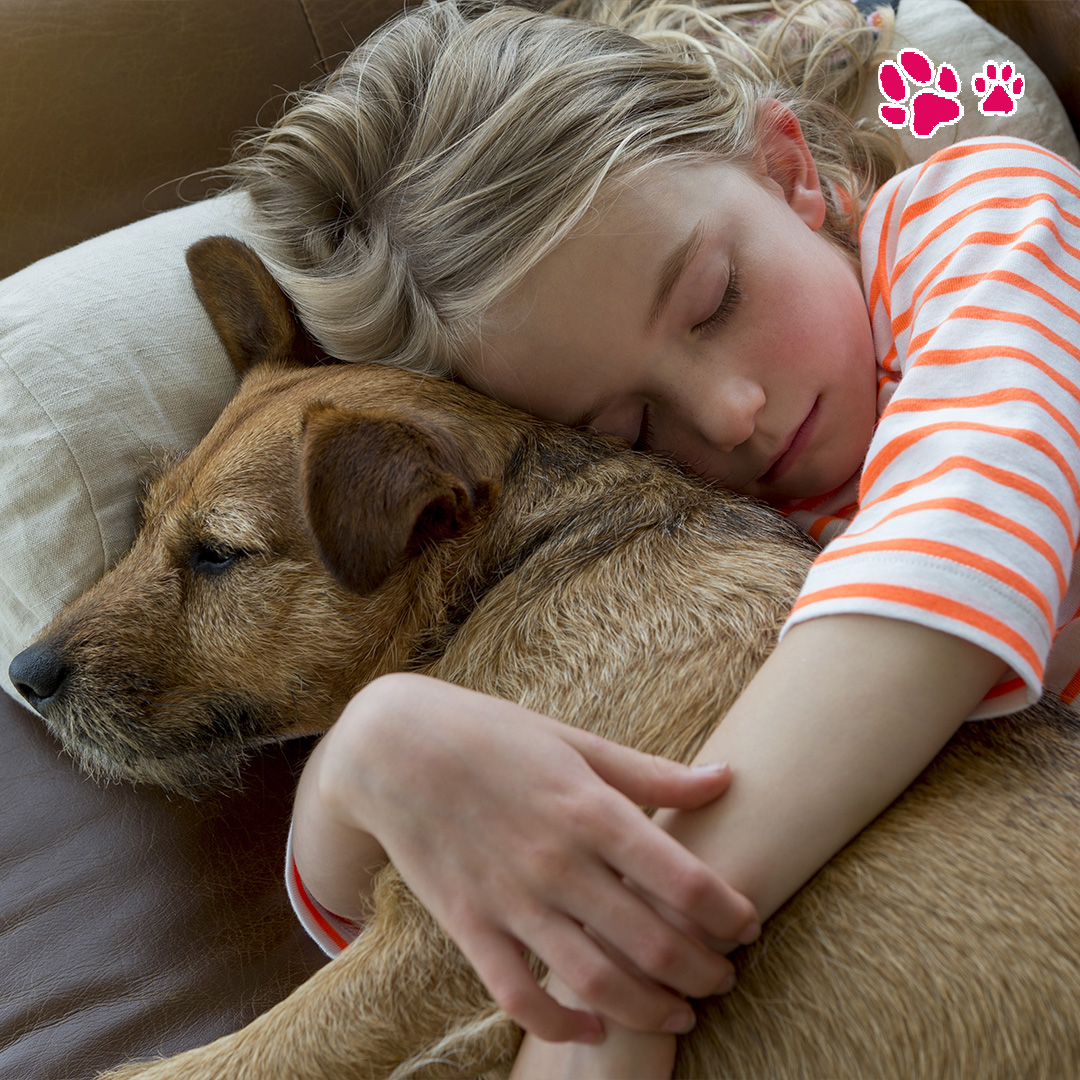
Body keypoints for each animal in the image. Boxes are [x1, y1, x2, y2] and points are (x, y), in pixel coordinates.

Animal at [8, 238, 1080, 1080]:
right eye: (143, 520)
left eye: (218, 555)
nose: (26, 675)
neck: (514, 563)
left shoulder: (442, 943)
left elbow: (175, 1071)